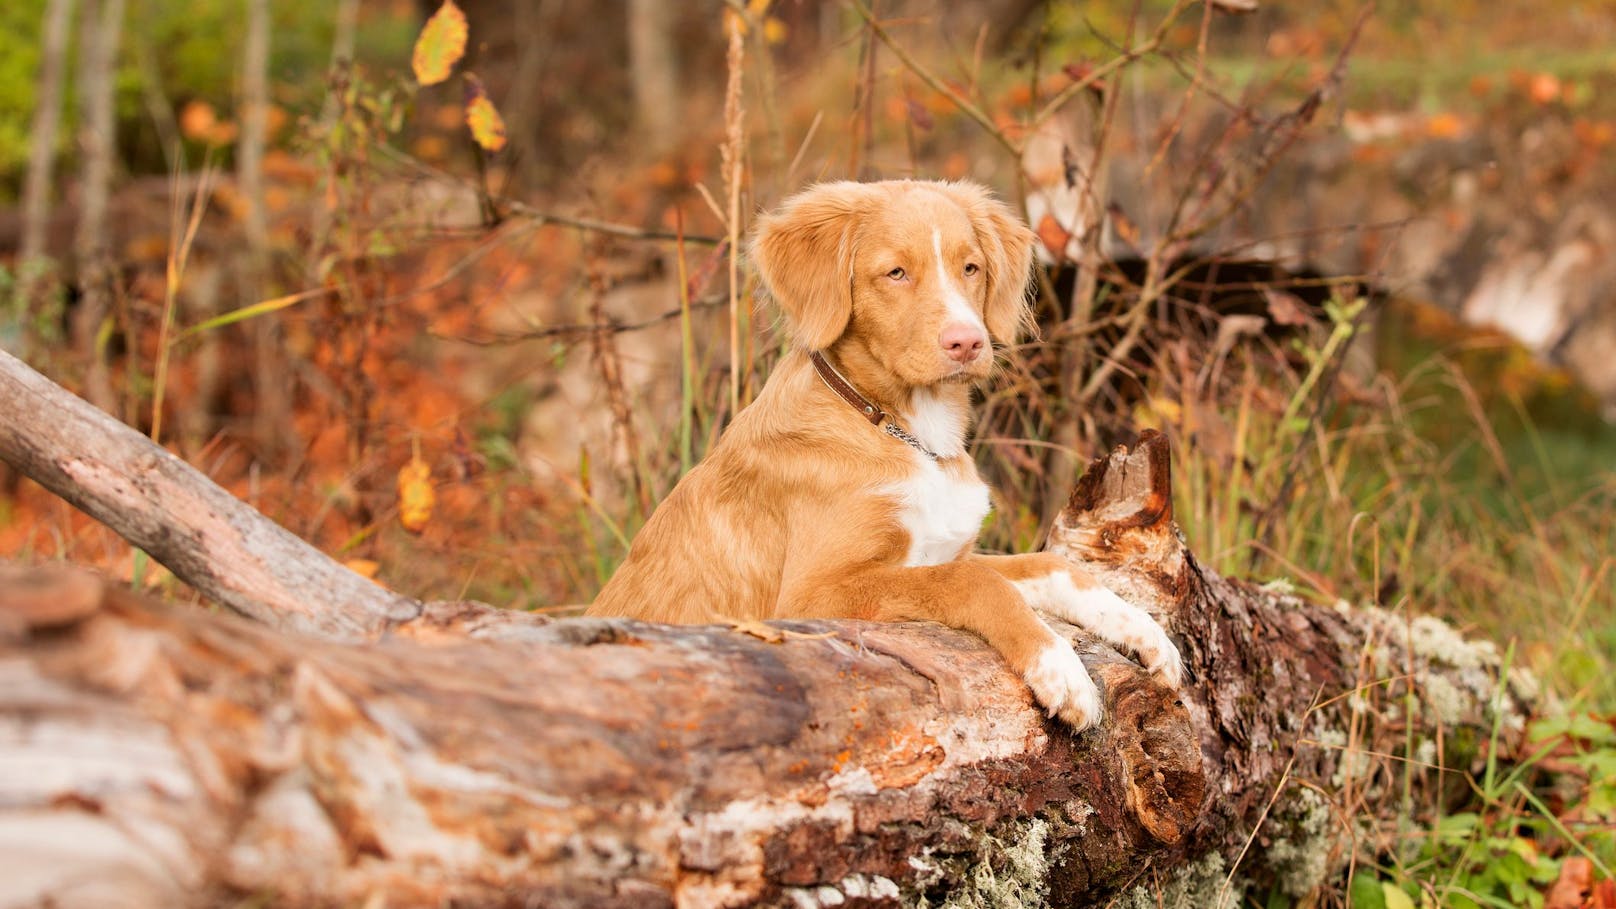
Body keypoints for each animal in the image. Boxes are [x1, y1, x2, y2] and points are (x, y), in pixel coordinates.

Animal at [588, 178, 1182, 727]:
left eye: (970, 268)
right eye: (895, 273)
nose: (967, 342)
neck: (904, 430)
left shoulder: (944, 549)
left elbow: (1052, 565)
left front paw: (1144, 631)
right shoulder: (810, 597)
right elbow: (974, 582)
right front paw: (1059, 668)